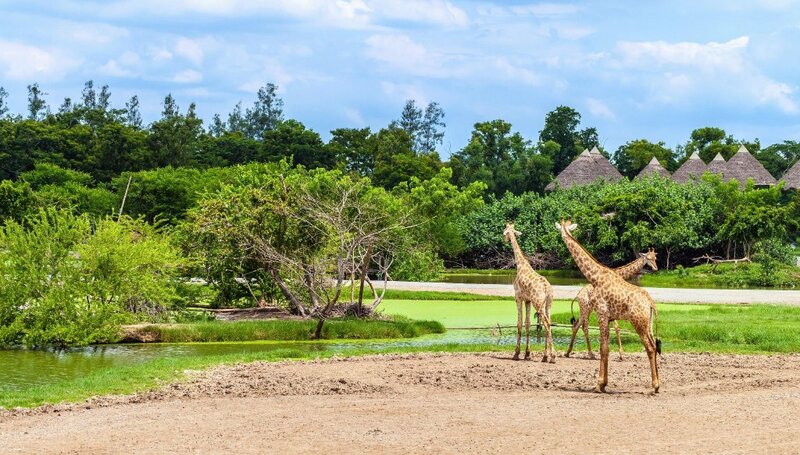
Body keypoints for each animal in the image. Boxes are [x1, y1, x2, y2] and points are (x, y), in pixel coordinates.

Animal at [500, 224, 556, 364]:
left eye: (505, 232)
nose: (505, 240)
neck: (520, 266)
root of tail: (546, 288)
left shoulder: (518, 297)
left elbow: (519, 324)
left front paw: (516, 354)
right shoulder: (528, 300)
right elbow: (528, 323)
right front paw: (527, 354)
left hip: (538, 303)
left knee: (546, 324)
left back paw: (552, 356)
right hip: (548, 304)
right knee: (549, 323)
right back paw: (545, 356)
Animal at [552, 219, 660, 394]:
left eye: (654, 257)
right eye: (650, 258)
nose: (656, 268)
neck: (595, 276)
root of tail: (651, 303)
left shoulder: (602, 314)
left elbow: (604, 348)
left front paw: (599, 385)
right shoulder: (609, 317)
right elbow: (607, 347)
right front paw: (603, 384)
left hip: (638, 322)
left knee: (650, 348)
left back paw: (655, 386)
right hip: (646, 323)